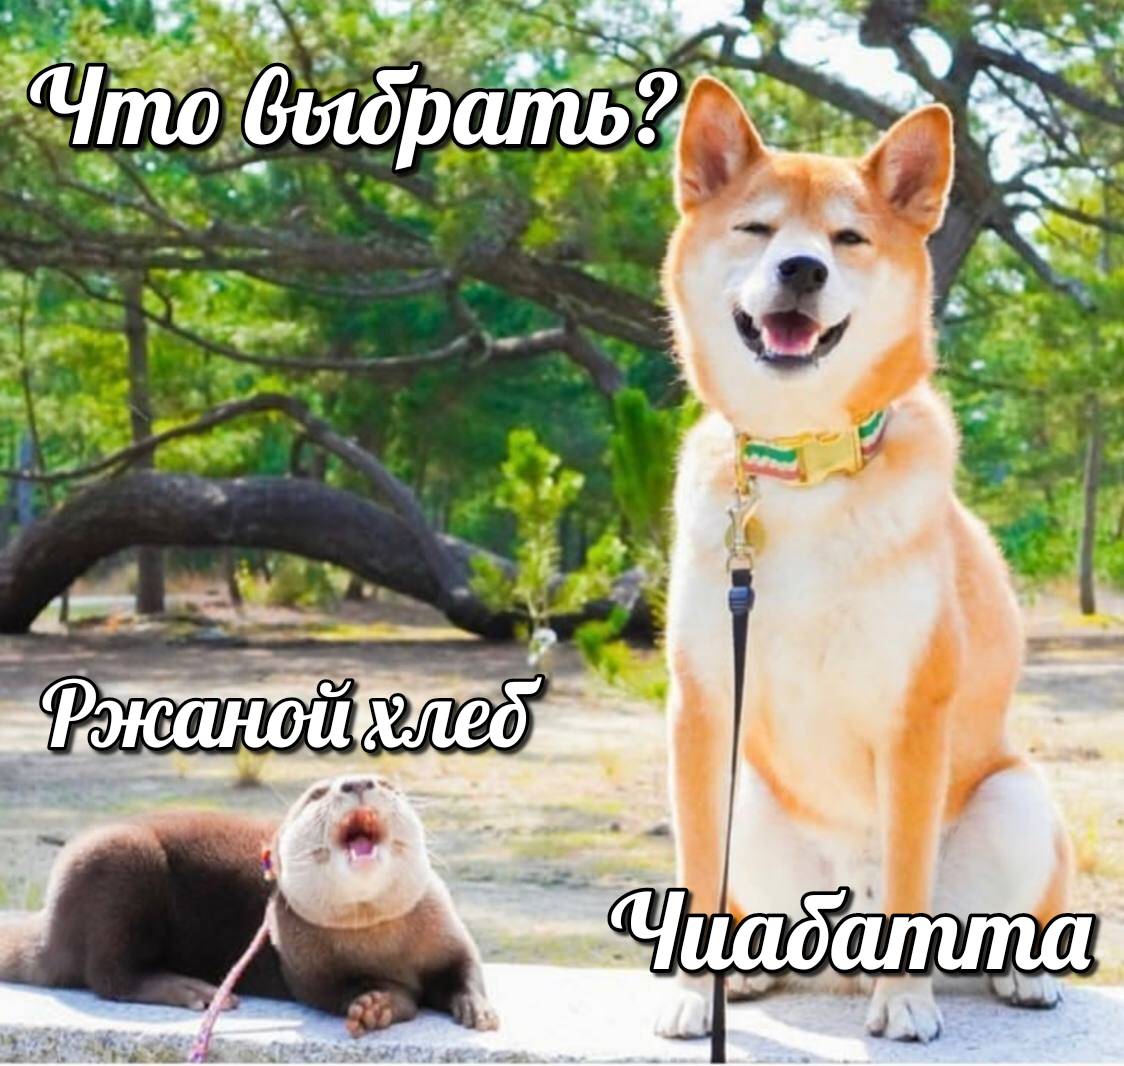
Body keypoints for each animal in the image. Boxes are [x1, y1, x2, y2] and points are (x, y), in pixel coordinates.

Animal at [0, 774, 498, 1035]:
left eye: (387, 785)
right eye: (317, 794)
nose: (357, 782)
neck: (384, 945)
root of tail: (48, 930)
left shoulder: (446, 933)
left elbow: (465, 969)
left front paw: (477, 1009)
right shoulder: (306, 968)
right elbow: (338, 994)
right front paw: (376, 1003)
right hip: (118, 861)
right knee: (109, 974)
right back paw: (190, 990)